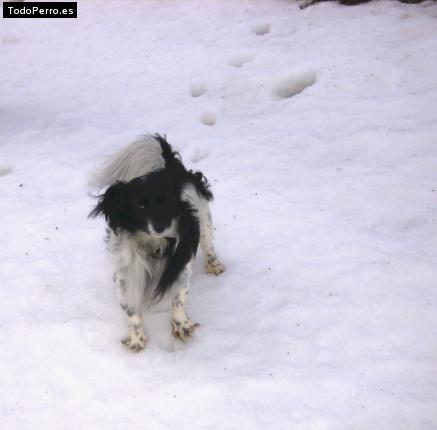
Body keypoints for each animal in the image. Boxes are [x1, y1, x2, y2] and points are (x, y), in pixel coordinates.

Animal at [89, 135, 225, 352]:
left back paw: (214, 265)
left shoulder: (180, 267)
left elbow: (178, 299)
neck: (153, 244)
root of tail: (170, 166)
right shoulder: (127, 274)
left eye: (168, 202)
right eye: (141, 205)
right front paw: (136, 339)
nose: (161, 226)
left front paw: (182, 325)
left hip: (204, 218)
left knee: (208, 244)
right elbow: (131, 310)